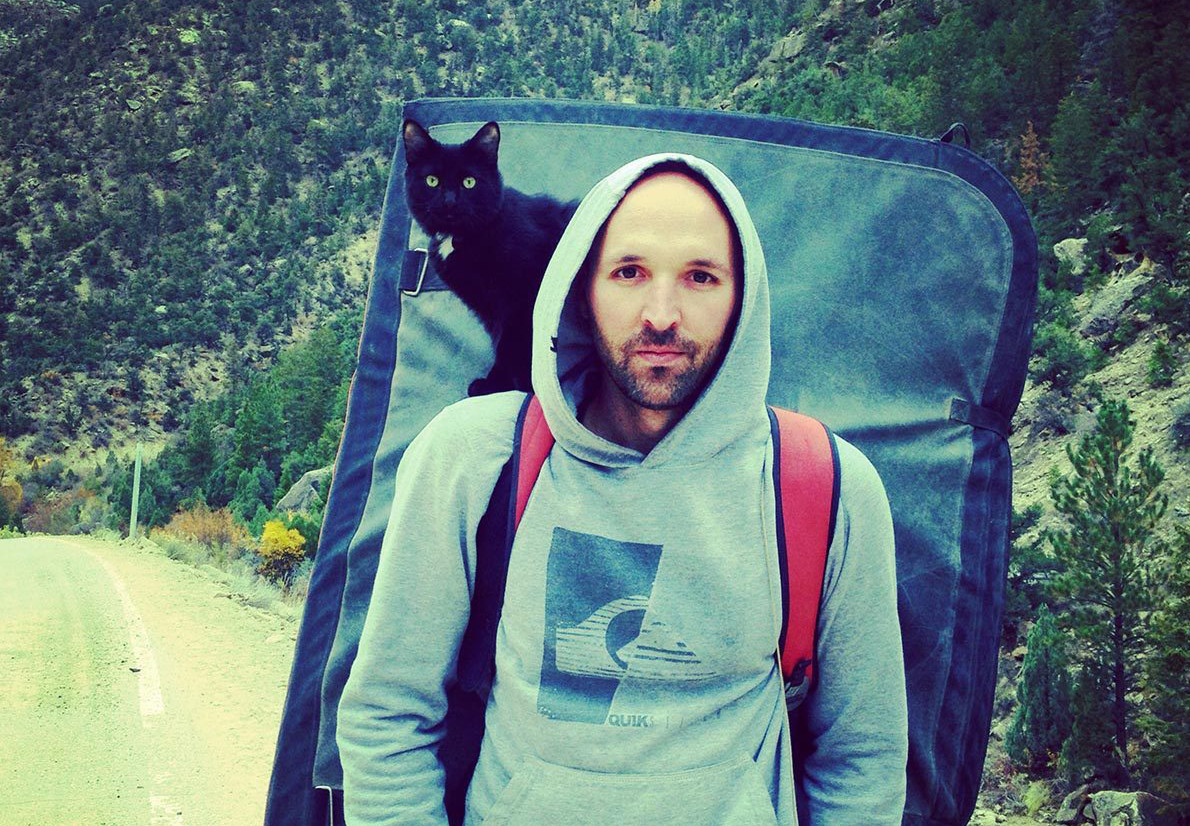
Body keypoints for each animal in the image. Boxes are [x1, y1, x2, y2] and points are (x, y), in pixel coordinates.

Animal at [404, 119, 580, 397]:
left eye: (469, 182)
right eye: (432, 181)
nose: (450, 202)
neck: (462, 239)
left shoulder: (522, 298)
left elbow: (511, 343)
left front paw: (513, 385)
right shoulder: (486, 307)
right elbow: (501, 343)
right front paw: (500, 382)